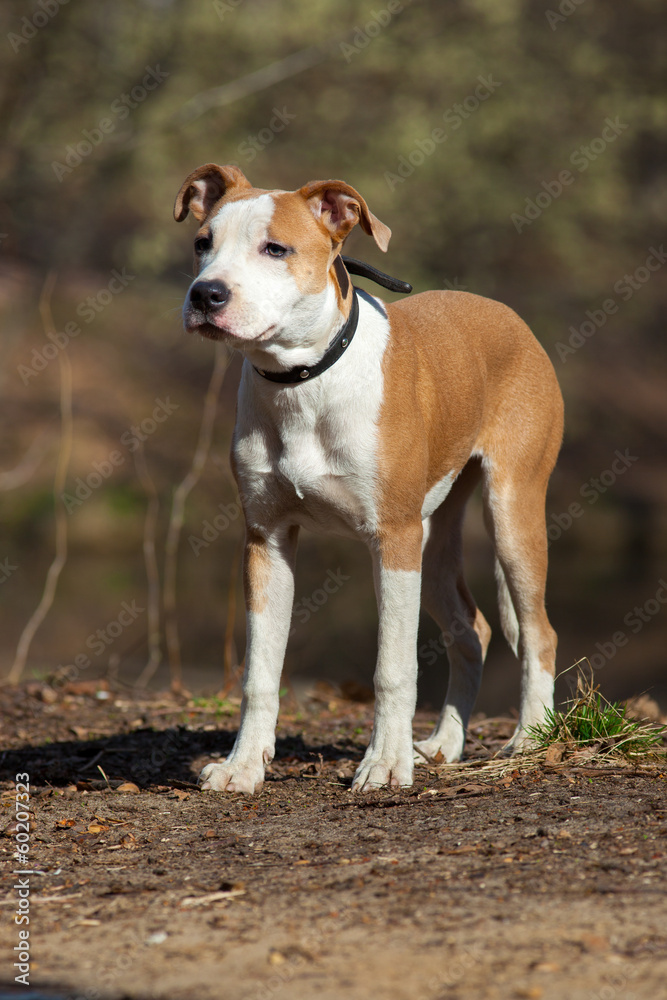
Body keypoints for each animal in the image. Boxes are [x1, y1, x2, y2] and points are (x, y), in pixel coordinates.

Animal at [174, 164, 564, 792]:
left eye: (275, 249)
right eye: (202, 243)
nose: (206, 294)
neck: (303, 381)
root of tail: (508, 315)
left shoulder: (392, 539)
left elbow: (392, 668)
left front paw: (382, 764)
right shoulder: (266, 540)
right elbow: (260, 670)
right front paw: (242, 767)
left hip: (509, 513)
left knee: (536, 630)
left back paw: (528, 739)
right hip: (434, 540)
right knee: (470, 630)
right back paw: (443, 743)